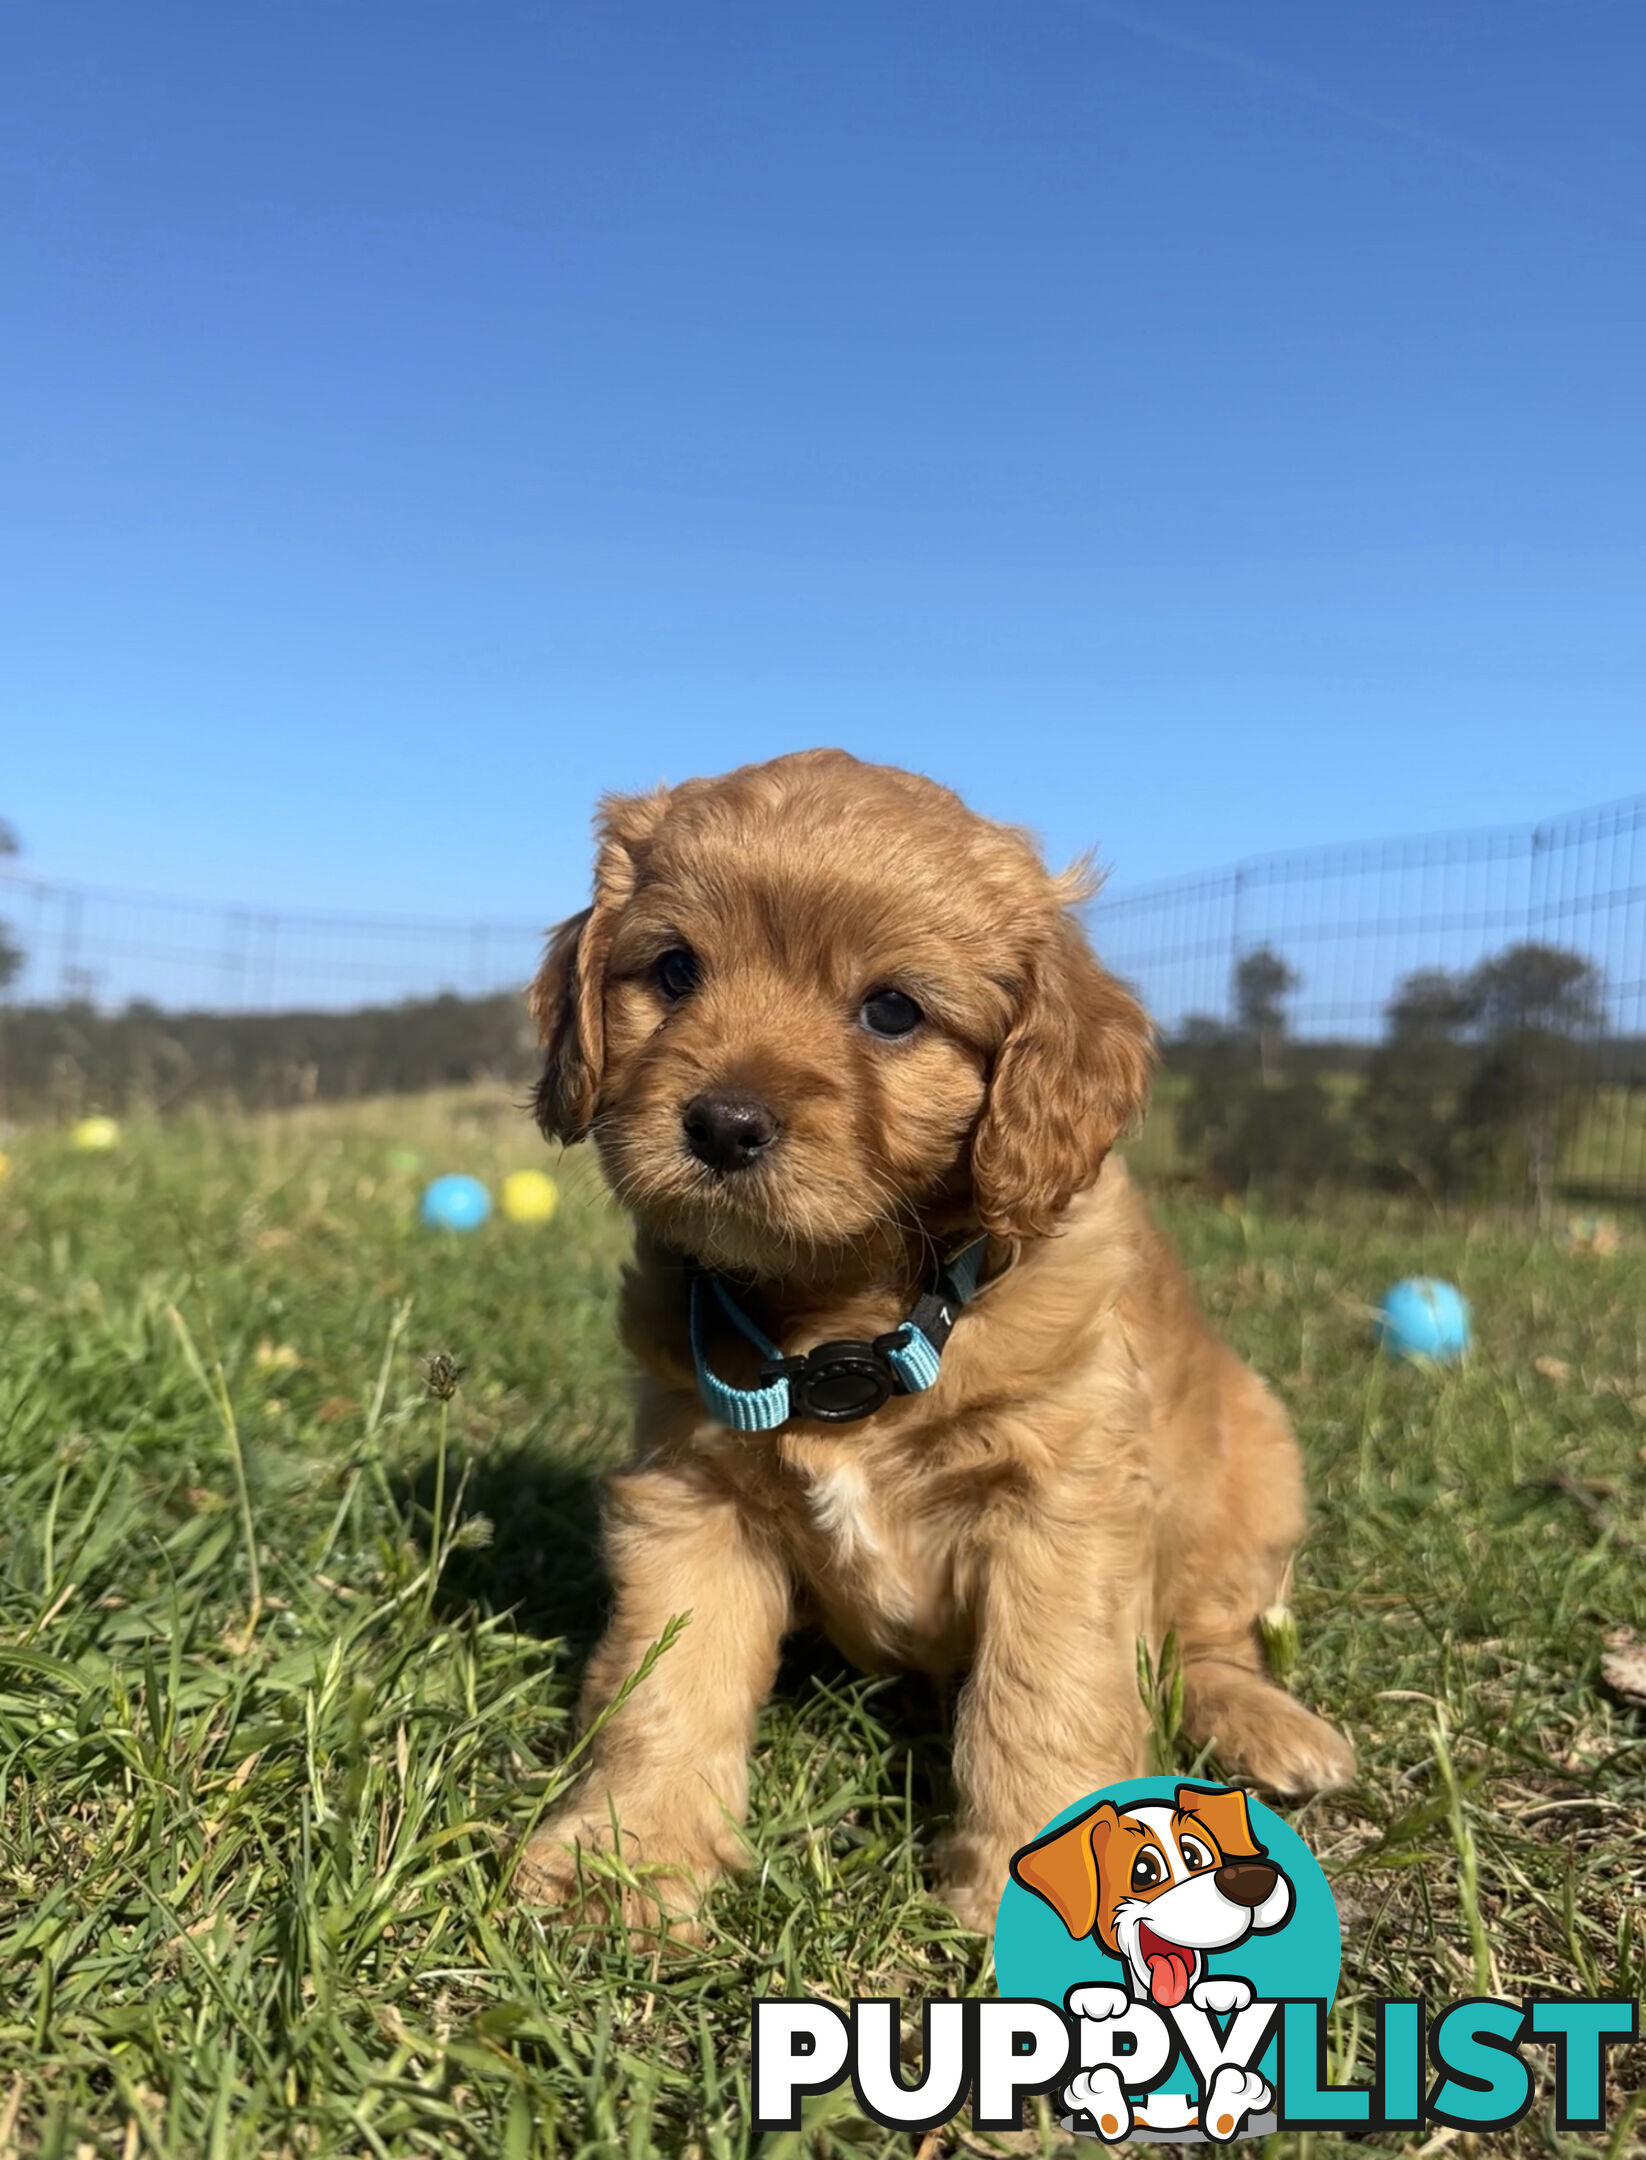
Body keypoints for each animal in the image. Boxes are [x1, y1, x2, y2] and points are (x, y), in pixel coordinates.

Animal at [514, 751, 1347, 1935]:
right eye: (674, 971)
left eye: (893, 1011)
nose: (722, 1124)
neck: (849, 1323)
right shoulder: (688, 1491)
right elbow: (664, 1677)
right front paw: (627, 1860)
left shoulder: (1061, 1503)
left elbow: (1046, 1690)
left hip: (1254, 1469)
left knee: (1210, 1640)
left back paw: (1269, 1726)